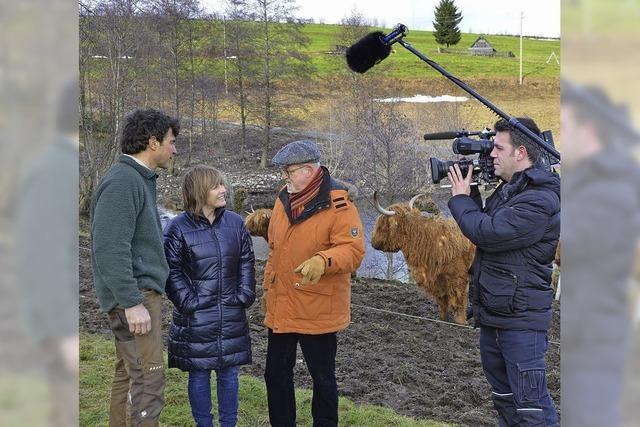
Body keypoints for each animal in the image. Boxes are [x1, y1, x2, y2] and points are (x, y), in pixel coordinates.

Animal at [370, 192, 476, 326]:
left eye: (382, 226)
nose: (373, 242)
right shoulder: (437, 278)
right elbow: (443, 299)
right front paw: (442, 319)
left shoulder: (458, 276)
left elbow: (459, 299)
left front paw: (461, 322)